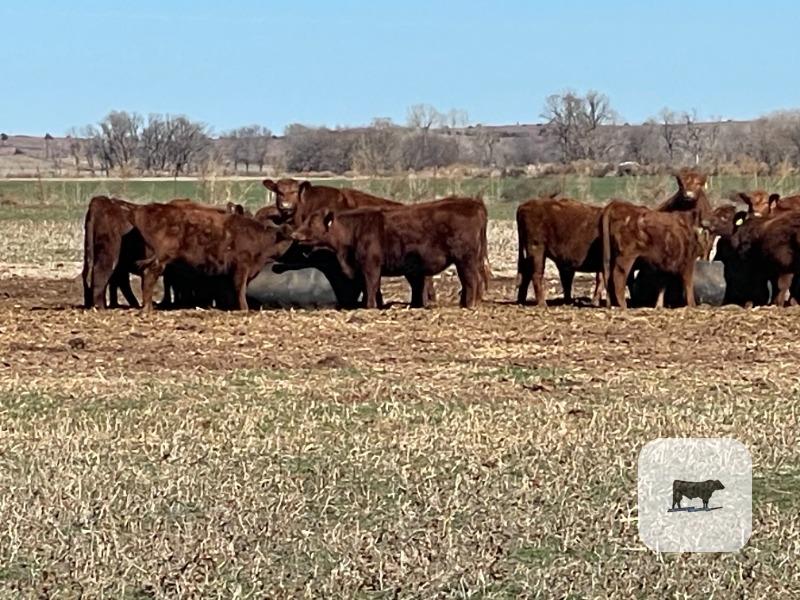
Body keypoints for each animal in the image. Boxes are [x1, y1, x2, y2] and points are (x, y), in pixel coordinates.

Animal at [128, 203, 292, 311]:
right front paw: (244, 309)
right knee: (150, 275)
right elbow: (240, 288)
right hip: (160, 259)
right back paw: (147, 308)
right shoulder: (241, 265)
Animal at [290, 197, 488, 308]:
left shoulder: (370, 265)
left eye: (312, 222)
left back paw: (469, 305)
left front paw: (368, 307)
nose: (294, 234)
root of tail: (472, 203)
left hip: (465, 260)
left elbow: (370, 286)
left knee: (471, 280)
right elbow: (372, 288)